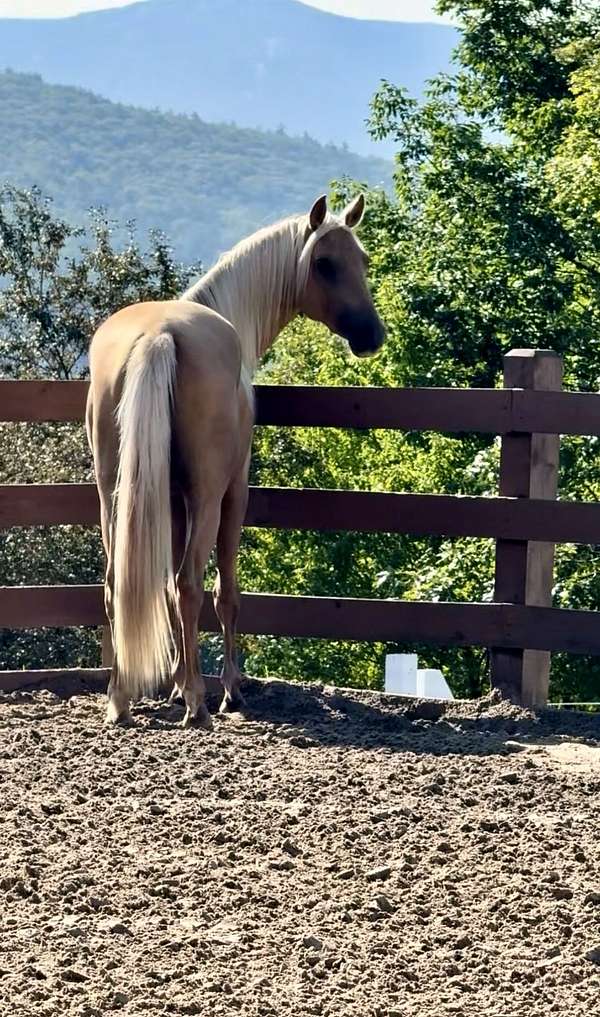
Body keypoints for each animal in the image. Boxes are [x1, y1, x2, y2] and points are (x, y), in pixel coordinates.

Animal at [86, 193, 385, 728]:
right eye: (325, 264)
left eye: (363, 261)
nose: (372, 335)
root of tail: (159, 336)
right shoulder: (232, 492)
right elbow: (225, 592)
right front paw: (227, 688)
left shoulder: (173, 502)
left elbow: (163, 590)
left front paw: (176, 681)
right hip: (209, 498)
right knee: (190, 583)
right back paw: (198, 704)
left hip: (113, 496)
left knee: (118, 583)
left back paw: (121, 698)